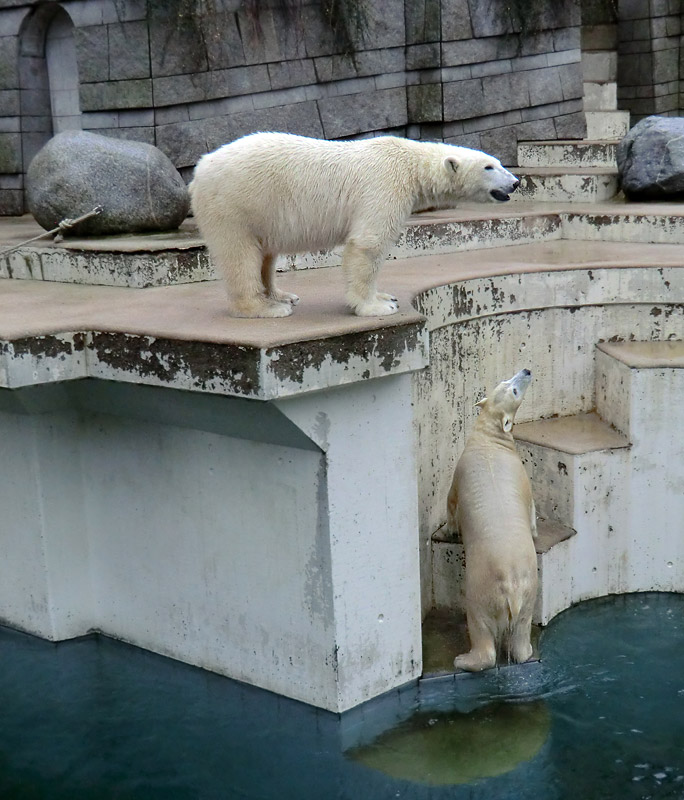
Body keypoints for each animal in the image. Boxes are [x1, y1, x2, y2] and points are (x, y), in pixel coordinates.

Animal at [187, 133, 520, 318]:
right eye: (489, 167)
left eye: (498, 162)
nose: (516, 182)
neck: (409, 163)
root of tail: (199, 169)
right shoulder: (384, 186)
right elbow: (368, 244)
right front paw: (375, 307)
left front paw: (386, 296)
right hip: (234, 204)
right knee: (240, 255)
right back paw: (266, 308)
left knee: (265, 255)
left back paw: (281, 295)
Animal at [448, 372, 540, 672]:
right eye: (508, 384)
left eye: (515, 391)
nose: (526, 371)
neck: (490, 440)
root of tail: (511, 586)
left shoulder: (461, 470)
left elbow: (451, 502)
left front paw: (451, 530)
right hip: (529, 592)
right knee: (521, 631)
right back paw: (527, 651)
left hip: (483, 589)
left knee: (480, 625)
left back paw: (464, 659)